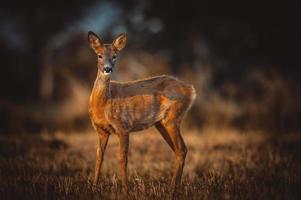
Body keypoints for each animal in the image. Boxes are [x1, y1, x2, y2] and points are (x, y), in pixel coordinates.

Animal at [87, 31, 195, 195]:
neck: (103, 104)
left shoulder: (123, 126)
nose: (107, 69)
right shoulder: (101, 131)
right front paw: (93, 188)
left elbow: (122, 159)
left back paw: (171, 190)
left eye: (115, 56)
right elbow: (99, 158)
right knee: (179, 150)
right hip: (161, 124)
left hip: (172, 117)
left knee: (182, 149)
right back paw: (176, 188)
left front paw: (125, 191)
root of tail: (191, 90)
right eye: (99, 55)